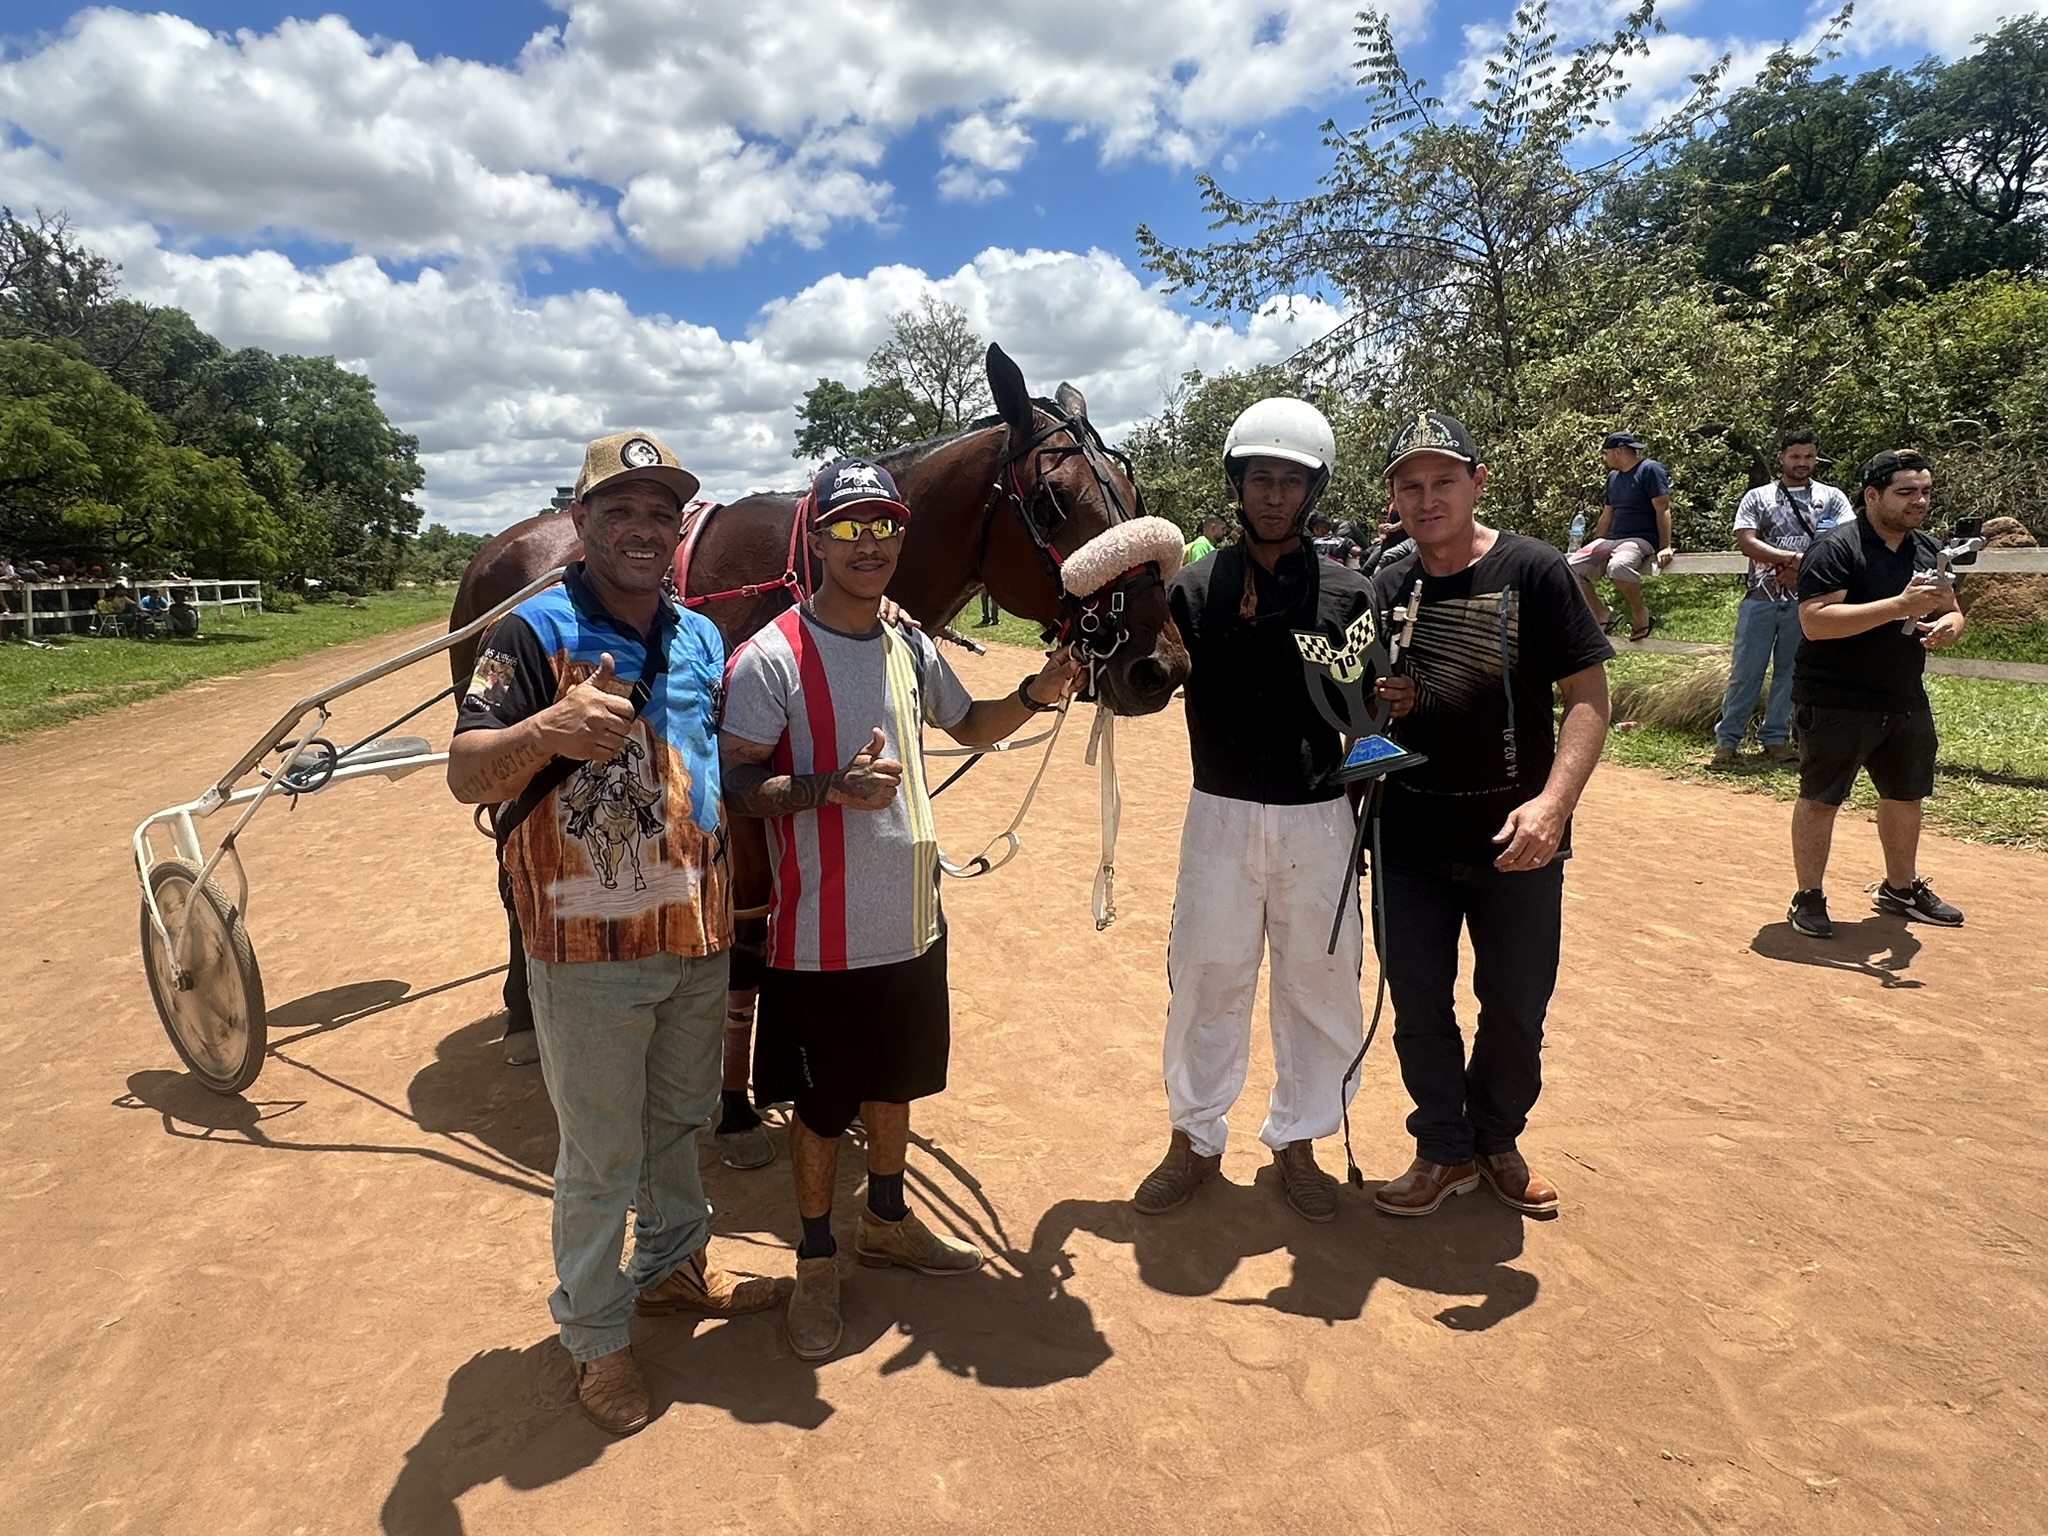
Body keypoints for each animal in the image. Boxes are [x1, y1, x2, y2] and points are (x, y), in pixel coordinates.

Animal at [448, 342, 1192, 1108]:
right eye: (1051, 502)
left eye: (1135, 499)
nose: (1159, 666)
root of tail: (500, 546)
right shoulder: (739, 801)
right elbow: (748, 939)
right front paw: (736, 1097)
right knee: (513, 876)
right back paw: (520, 1014)